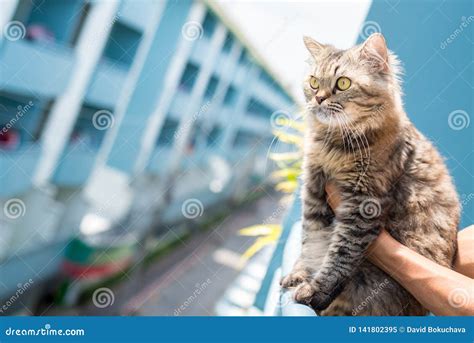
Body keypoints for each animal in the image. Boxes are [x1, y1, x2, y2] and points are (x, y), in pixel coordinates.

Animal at [280, 33, 462, 316]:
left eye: (343, 83)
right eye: (313, 82)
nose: (318, 98)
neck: (334, 143)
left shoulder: (363, 204)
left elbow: (339, 256)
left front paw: (314, 293)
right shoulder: (314, 192)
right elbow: (311, 242)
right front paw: (300, 275)